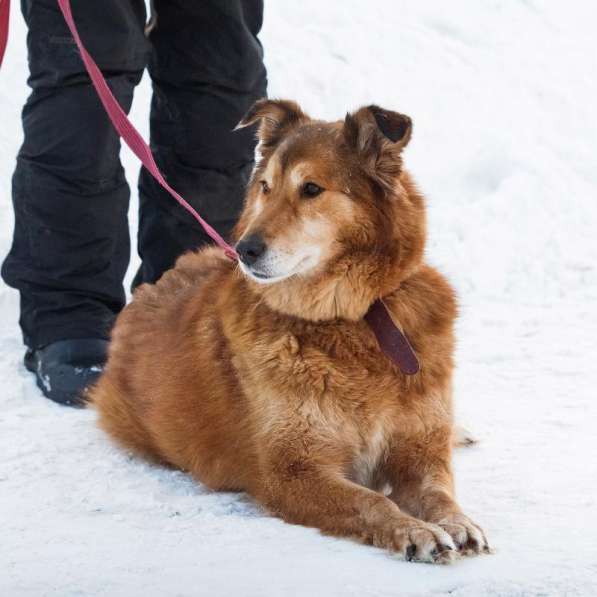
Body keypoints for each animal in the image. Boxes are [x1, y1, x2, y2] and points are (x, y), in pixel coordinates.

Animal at [89, 99, 488, 564]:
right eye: (265, 187)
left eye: (311, 189)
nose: (244, 249)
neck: (353, 320)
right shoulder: (292, 471)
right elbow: (372, 501)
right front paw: (414, 531)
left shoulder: (419, 452)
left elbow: (438, 492)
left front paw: (457, 522)